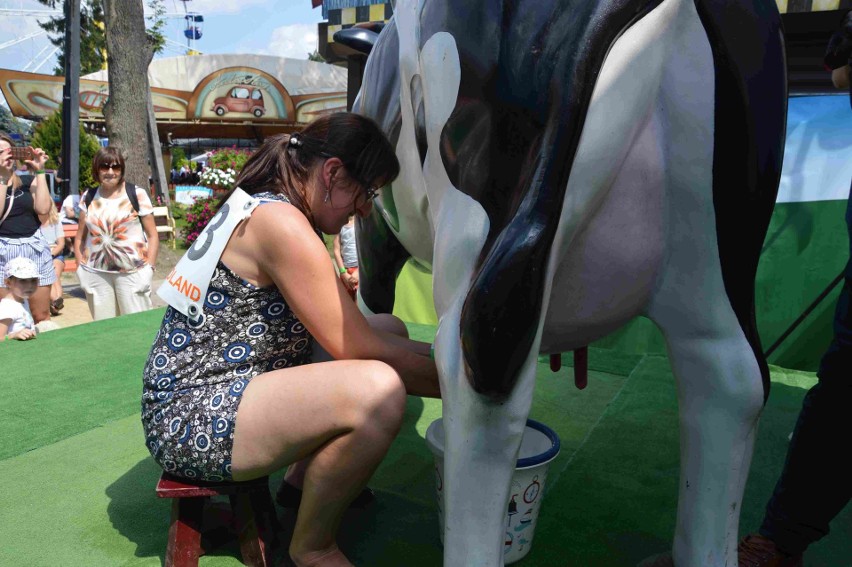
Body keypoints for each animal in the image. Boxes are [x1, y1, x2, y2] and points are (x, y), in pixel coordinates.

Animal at [348, 2, 784, 564]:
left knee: (480, 381)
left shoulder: (374, 225)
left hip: (488, 200)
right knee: (731, 377)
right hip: (719, 249)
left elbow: (371, 314)